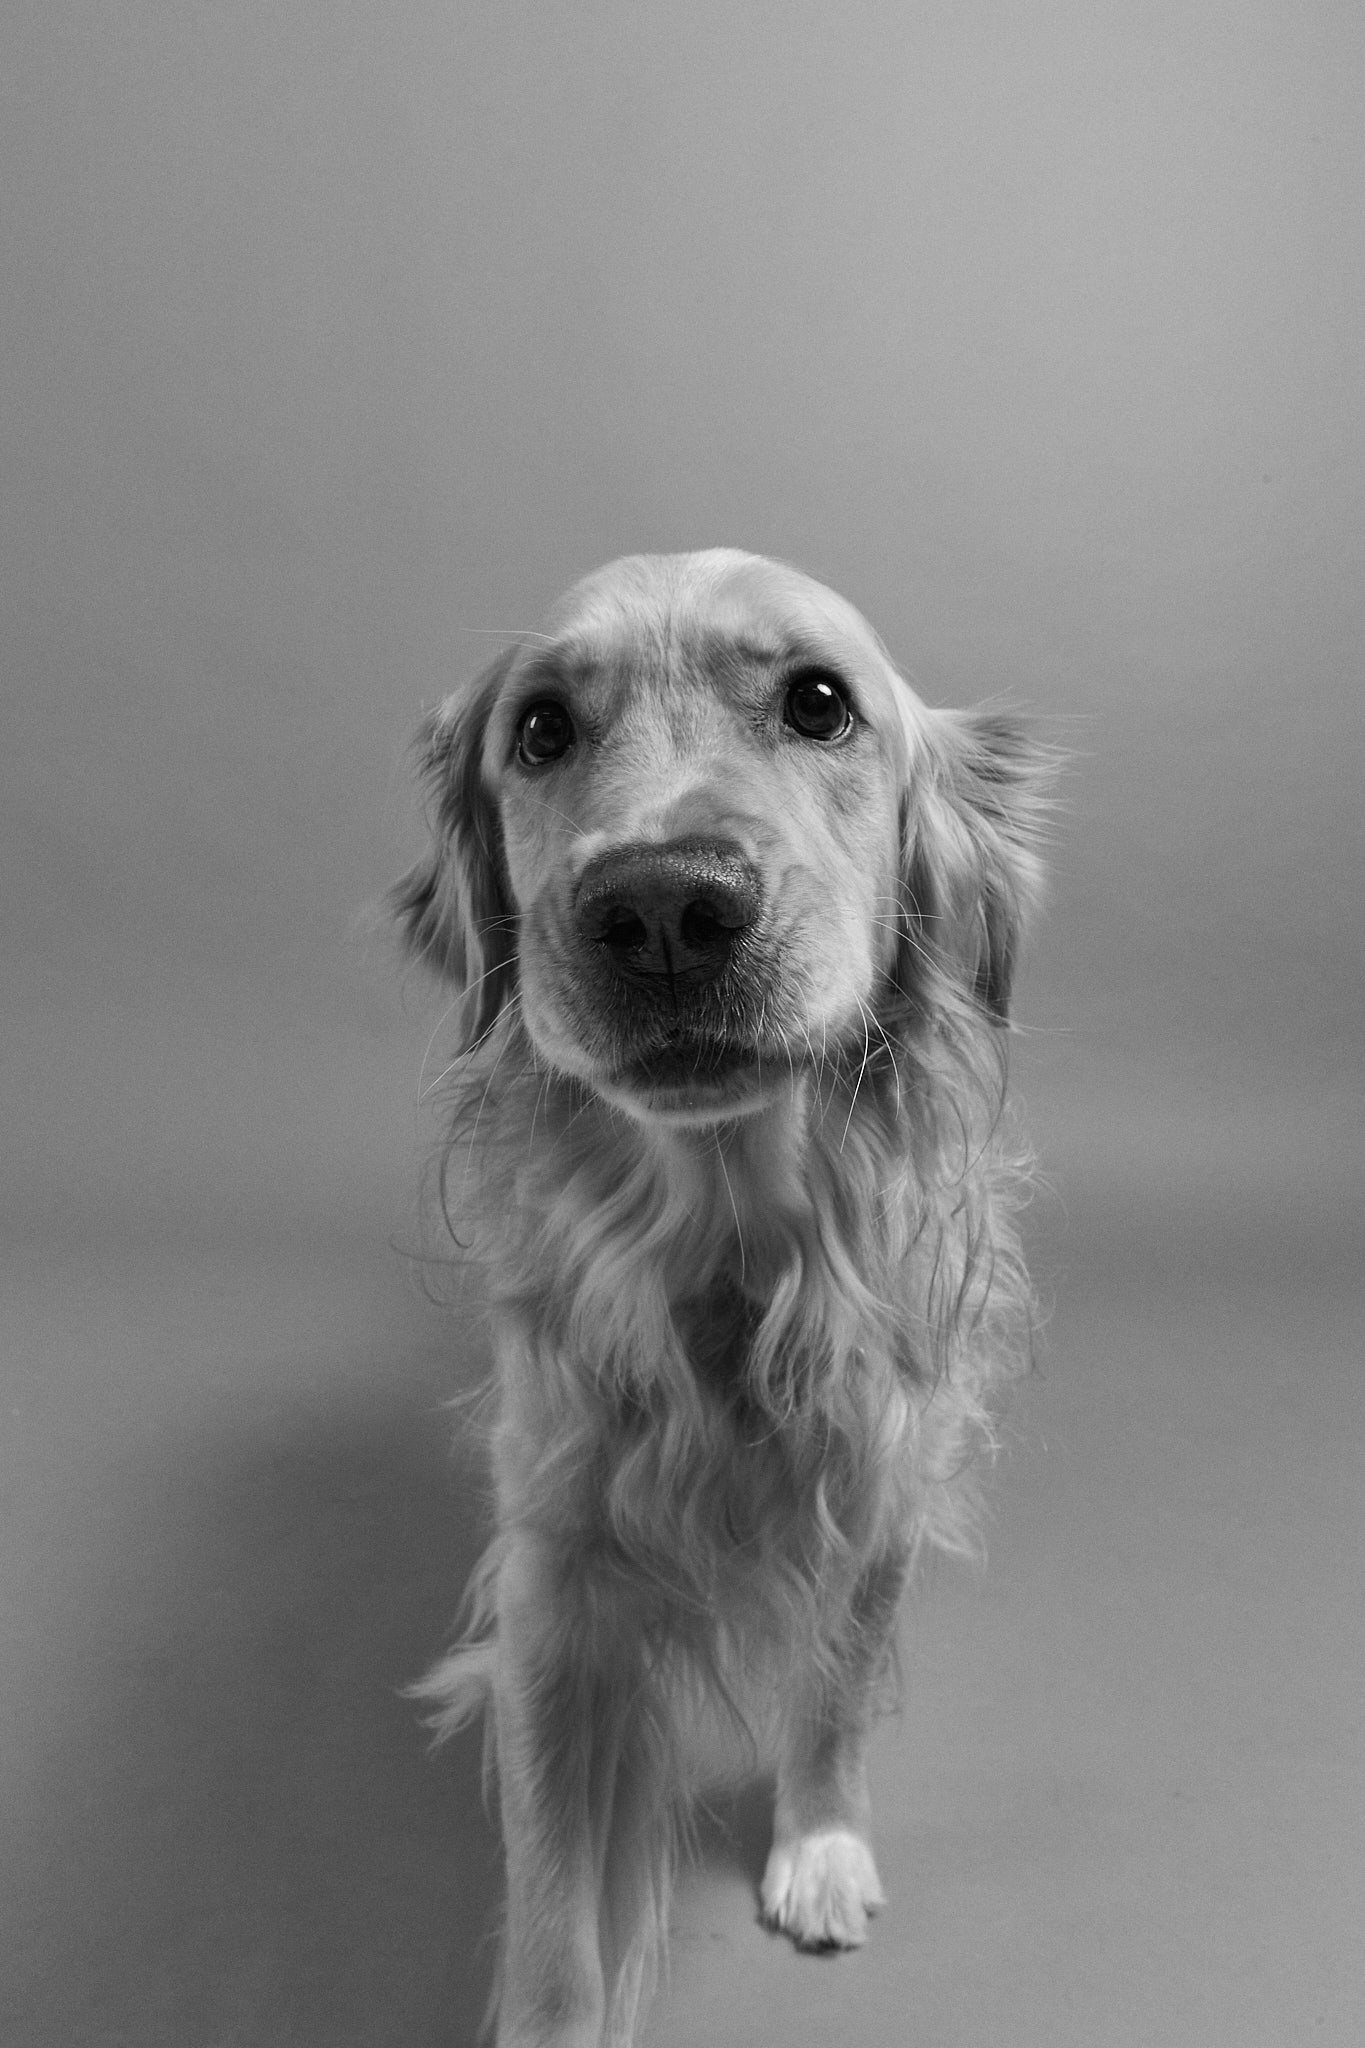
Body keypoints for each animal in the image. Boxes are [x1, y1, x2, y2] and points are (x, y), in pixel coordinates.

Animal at [394, 550, 1051, 2047]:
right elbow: (557, 1896)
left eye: (819, 702)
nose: (661, 908)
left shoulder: (880, 1487)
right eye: (540, 729)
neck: (732, 1240)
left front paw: (818, 1843)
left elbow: (838, 1690)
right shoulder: (552, 1573)